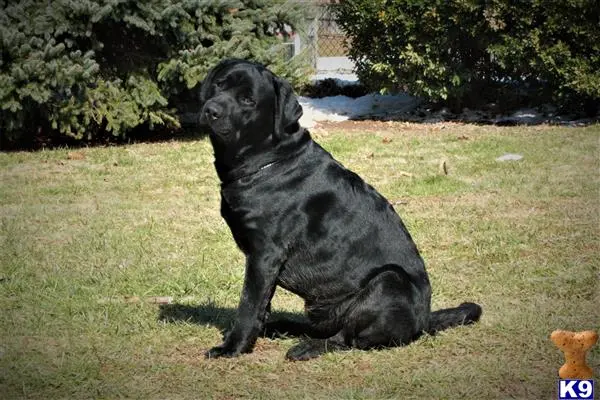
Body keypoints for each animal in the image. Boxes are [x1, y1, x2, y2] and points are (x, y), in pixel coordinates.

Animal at [199, 59, 480, 362]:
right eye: (220, 84)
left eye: (248, 100)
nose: (212, 110)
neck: (267, 160)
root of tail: (424, 319)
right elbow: (262, 304)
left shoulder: (264, 254)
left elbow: (249, 305)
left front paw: (233, 346)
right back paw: (282, 326)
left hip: (389, 282)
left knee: (346, 338)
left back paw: (307, 347)